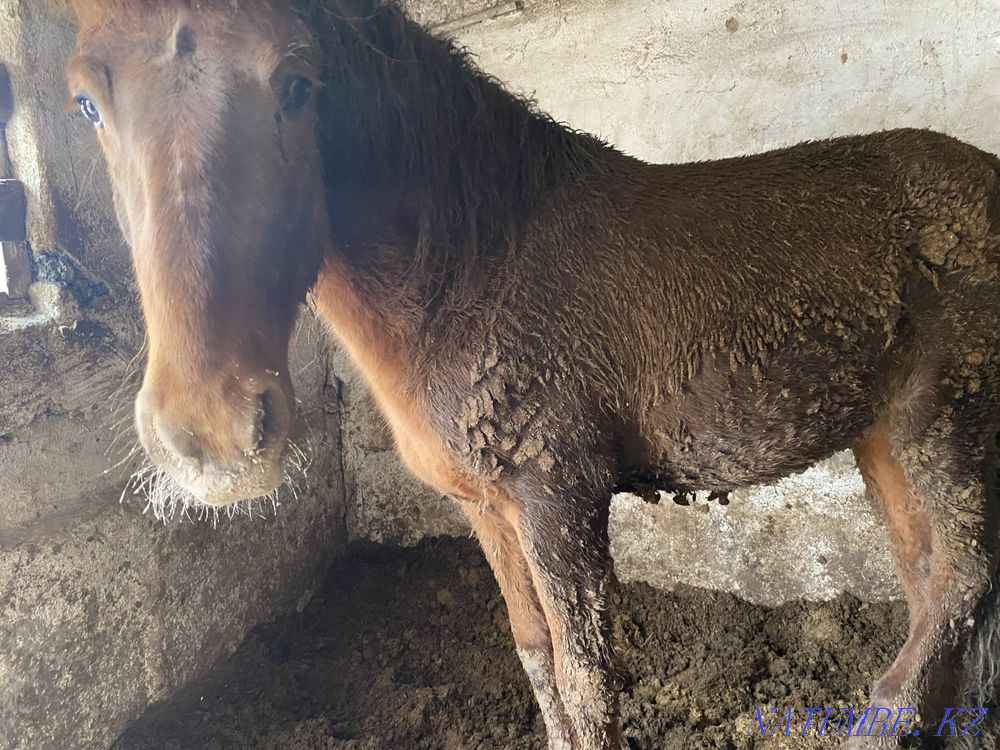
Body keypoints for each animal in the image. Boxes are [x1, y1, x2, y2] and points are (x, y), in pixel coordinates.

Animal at [61, 1, 1000, 747]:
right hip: (883, 436)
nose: (212, 434)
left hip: (940, 418)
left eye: (295, 83)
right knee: (932, 588)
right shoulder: (490, 508)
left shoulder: (558, 497)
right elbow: (537, 657)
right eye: (87, 102)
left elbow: (587, 682)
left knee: (959, 581)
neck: (472, 271)